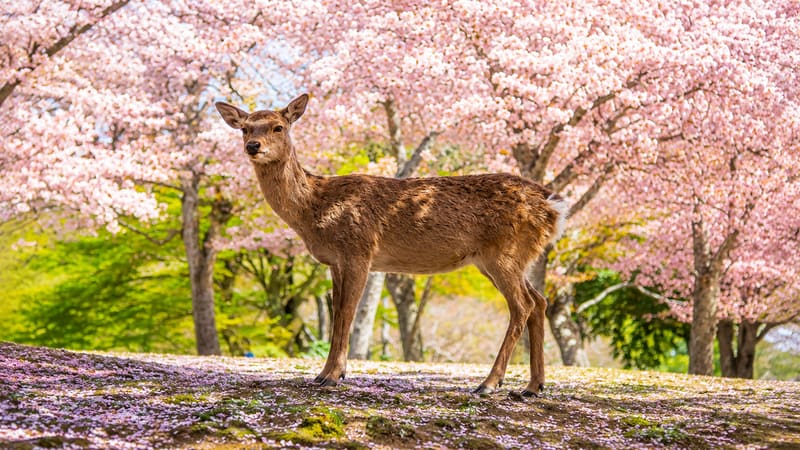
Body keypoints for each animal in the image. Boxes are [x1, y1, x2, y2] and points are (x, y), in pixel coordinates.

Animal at [215, 94, 569, 397]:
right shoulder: (335, 262)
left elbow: (346, 312)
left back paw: (489, 383)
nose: (253, 145)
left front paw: (332, 376)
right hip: (505, 259)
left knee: (522, 305)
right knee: (539, 301)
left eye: (279, 126)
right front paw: (324, 373)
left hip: (504, 252)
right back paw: (532, 386)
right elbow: (336, 312)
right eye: (245, 127)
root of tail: (552, 207)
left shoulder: (359, 250)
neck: (315, 208)